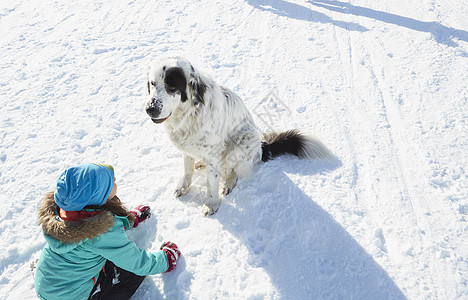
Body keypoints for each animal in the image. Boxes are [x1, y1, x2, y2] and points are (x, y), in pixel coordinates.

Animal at [146, 56, 332, 216]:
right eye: (153, 84)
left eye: (172, 87)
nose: (150, 109)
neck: (189, 114)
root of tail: (262, 148)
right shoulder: (187, 148)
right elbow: (187, 169)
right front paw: (184, 187)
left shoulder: (214, 153)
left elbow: (212, 183)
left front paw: (211, 204)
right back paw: (200, 163)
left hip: (241, 142)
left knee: (233, 171)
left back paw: (227, 184)